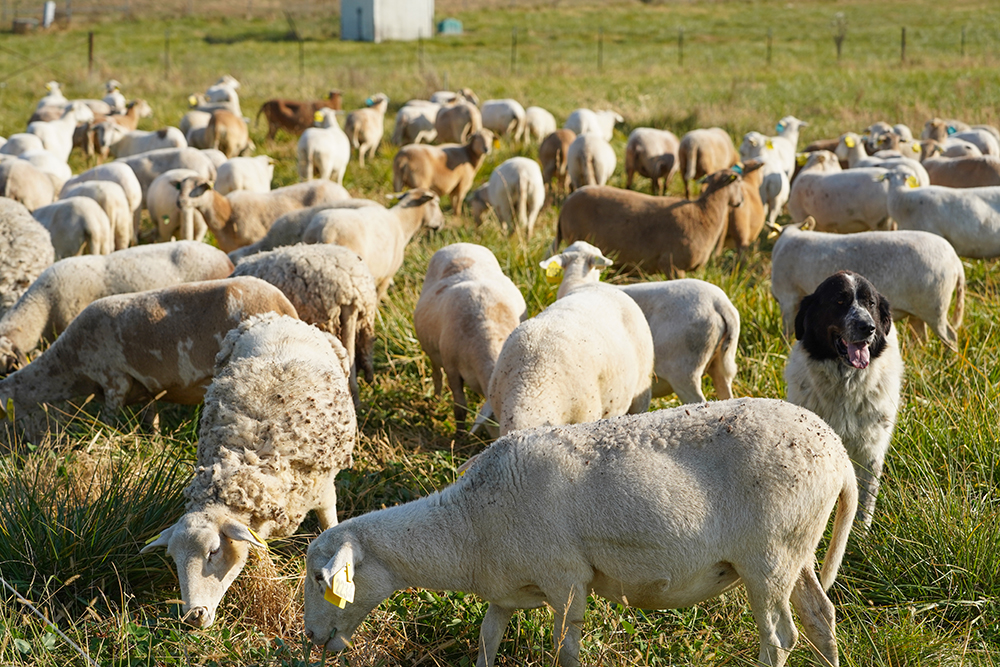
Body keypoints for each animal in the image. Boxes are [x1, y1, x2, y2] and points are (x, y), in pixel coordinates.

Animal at [0, 277, 297, 443]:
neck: (68, 365)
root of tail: (285, 304)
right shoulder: (147, 389)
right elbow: (151, 422)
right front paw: (154, 444)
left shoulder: (114, 381)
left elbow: (108, 423)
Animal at [141, 313, 356, 628]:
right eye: (173, 557)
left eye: (214, 551)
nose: (194, 616)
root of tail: (278, 317)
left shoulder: (324, 489)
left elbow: (330, 524)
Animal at [304, 398, 856, 667]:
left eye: (317, 579)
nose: (310, 638)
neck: (468, 526)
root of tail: (839, 454)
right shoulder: (506, 590)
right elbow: (487, 640)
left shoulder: (566, 579)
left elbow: (564, 652)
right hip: (796, 549)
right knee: (819, 617)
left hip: (768, 554)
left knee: (779, 638)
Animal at [413, 243, 527, 431]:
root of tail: (460, 244)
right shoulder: (452, 369)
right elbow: (460, 408)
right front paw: (459, 434)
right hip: (431, 351)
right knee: (436, 373)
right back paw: (436, 400)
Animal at [770, 219, 965, 349]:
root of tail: (956, 261)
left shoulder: (788, 298)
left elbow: (787, 331)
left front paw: (784, 349)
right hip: (920, 310)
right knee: (922, 337)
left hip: (935, 307)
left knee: (950, 337)